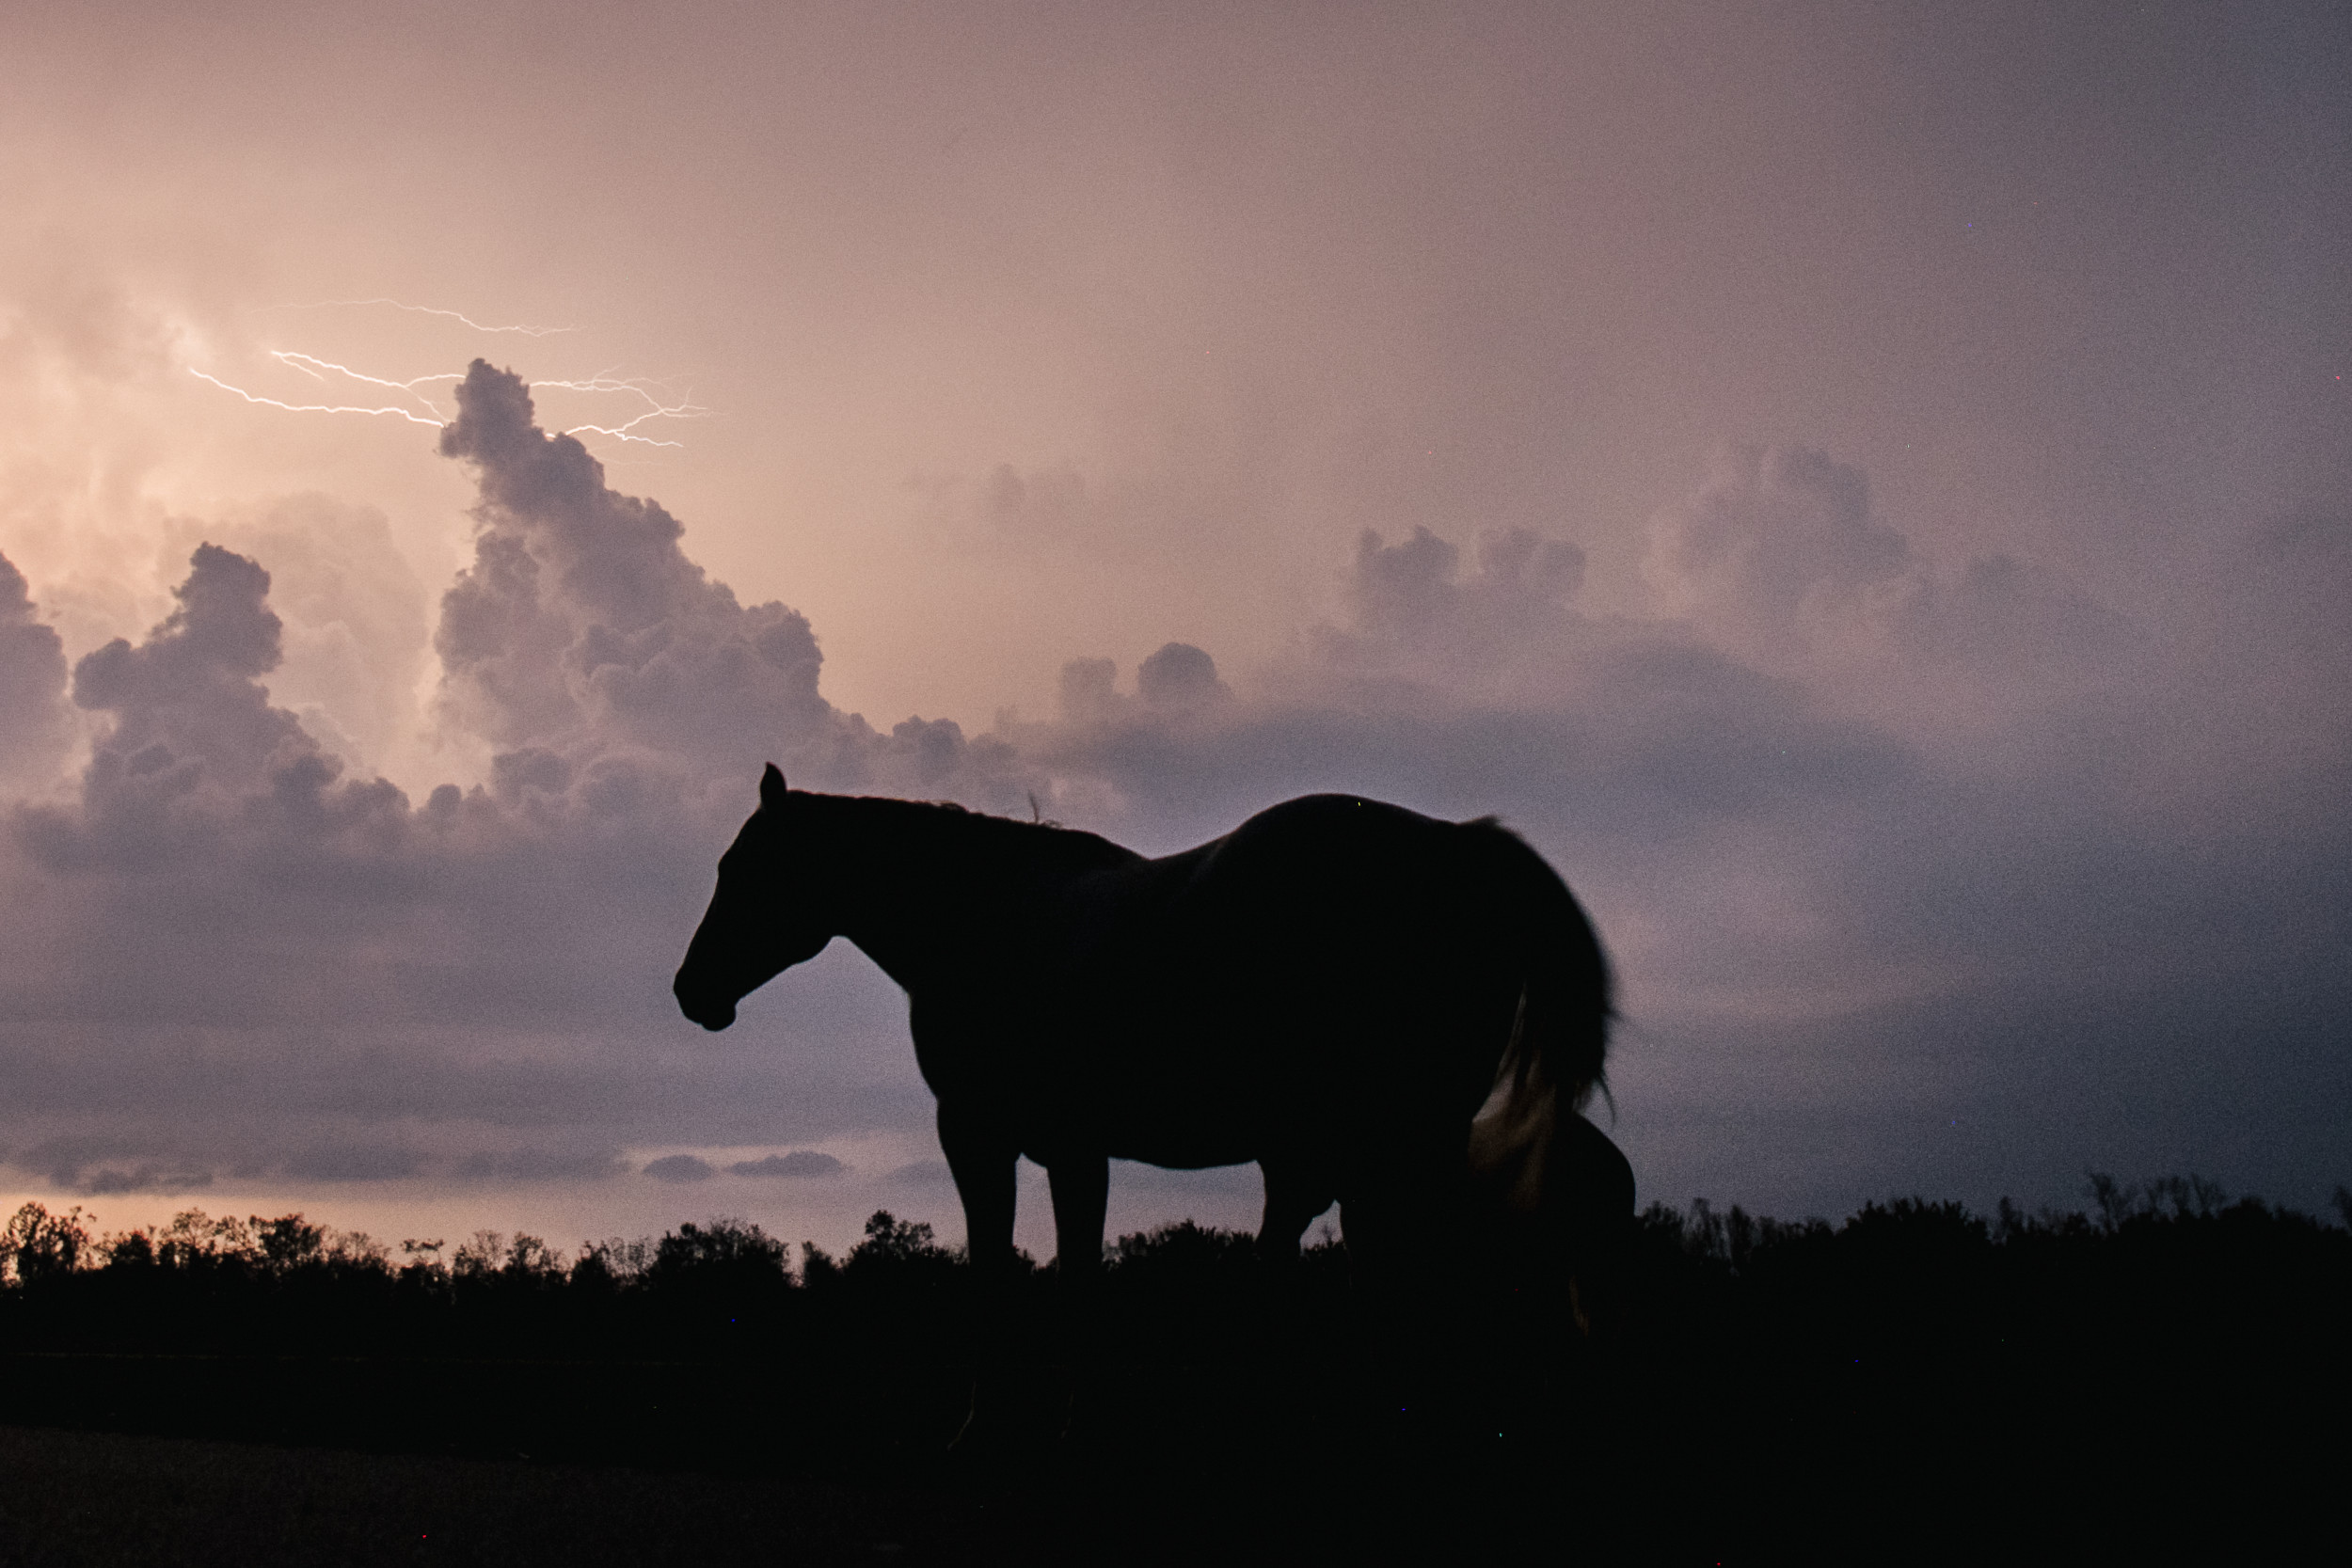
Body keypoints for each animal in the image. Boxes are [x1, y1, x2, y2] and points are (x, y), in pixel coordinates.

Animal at [682, 766, 1628, 1316]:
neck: (990, 919)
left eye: (742, 868)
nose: (691, 989)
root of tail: (1461, 844)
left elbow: (999, 1273)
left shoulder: (979, 1137)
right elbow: (1075, 1271)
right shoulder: (1074, 1150)